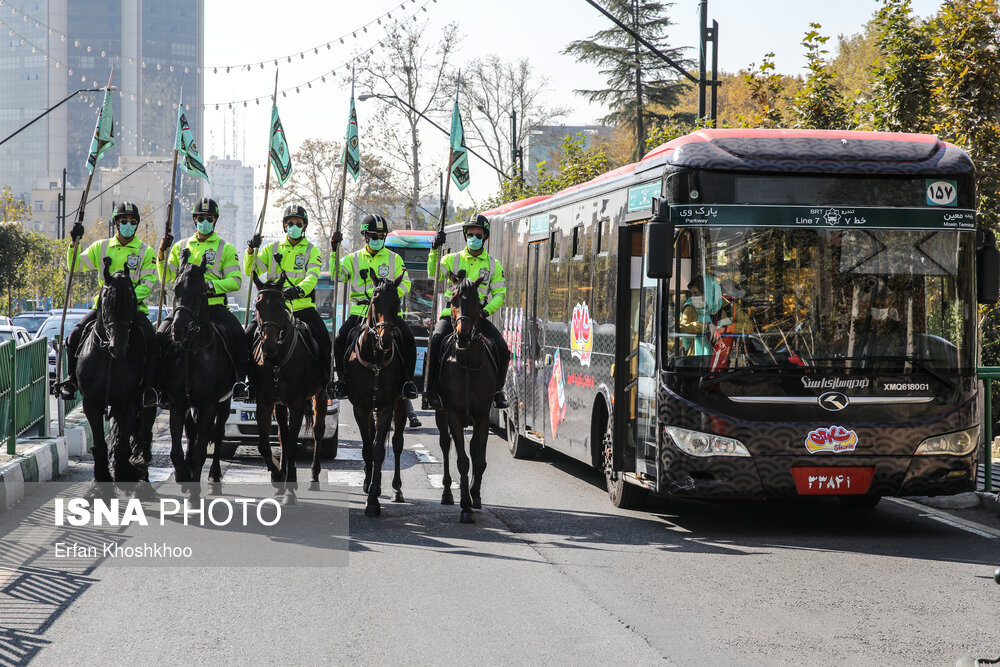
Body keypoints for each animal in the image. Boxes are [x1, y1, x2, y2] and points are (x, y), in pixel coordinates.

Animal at [76, 258, 155, 498]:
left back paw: (142, 478)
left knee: (142, 436)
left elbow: (123, 445)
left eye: (132, 300)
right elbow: (100, 443)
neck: (109, 359)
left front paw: (123, 475)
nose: (118, 347)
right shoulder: (91, 402)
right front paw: (100, 482)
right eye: (106, 301)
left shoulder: (129, 402)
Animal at [162, 253, 242, 498]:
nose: (178, 330)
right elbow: (176, 450)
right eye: (176, 289)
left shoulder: (209, 405)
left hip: (224, 403)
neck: (192, 350)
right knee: (192, 431)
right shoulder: (177, 404)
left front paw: (195, 492)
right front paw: (182, 475)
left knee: (217, 433)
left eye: (200, 293)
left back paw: (214, 474)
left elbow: (201, 450)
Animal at [250, 274, 328, 504]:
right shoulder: (265, 402)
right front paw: (278, 477)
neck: (277, 361)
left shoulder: (296, 403)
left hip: (319, 395)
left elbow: (294, 443)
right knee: (283, 436)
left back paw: (313, 476)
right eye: (258, 305)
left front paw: (290, 489)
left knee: (318, 431)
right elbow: (265, 445)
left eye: (280, 305)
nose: (268, 347)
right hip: (279, 404)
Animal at [342, 274, 408, 520]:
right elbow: (367, 448)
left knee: (397, 443)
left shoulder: (388, 405)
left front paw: (373, 501)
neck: (376, 359)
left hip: (401, 403)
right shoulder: (360, 407)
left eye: (397, 303)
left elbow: (379, 450)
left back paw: (396, 489)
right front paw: (369, 487)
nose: (386, 340)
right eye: (374, 301)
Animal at [438, 272, 500, 520]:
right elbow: (462, 461)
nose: (463, 337)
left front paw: (475, 495)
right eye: (452, 300)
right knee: (445, 446)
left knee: (473, 448)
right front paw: (465, 506)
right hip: (441, 414)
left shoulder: (482, 416)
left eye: (476, 301)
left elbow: (479, 459)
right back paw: (447, 492)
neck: (467, 361)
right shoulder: (454, 414)